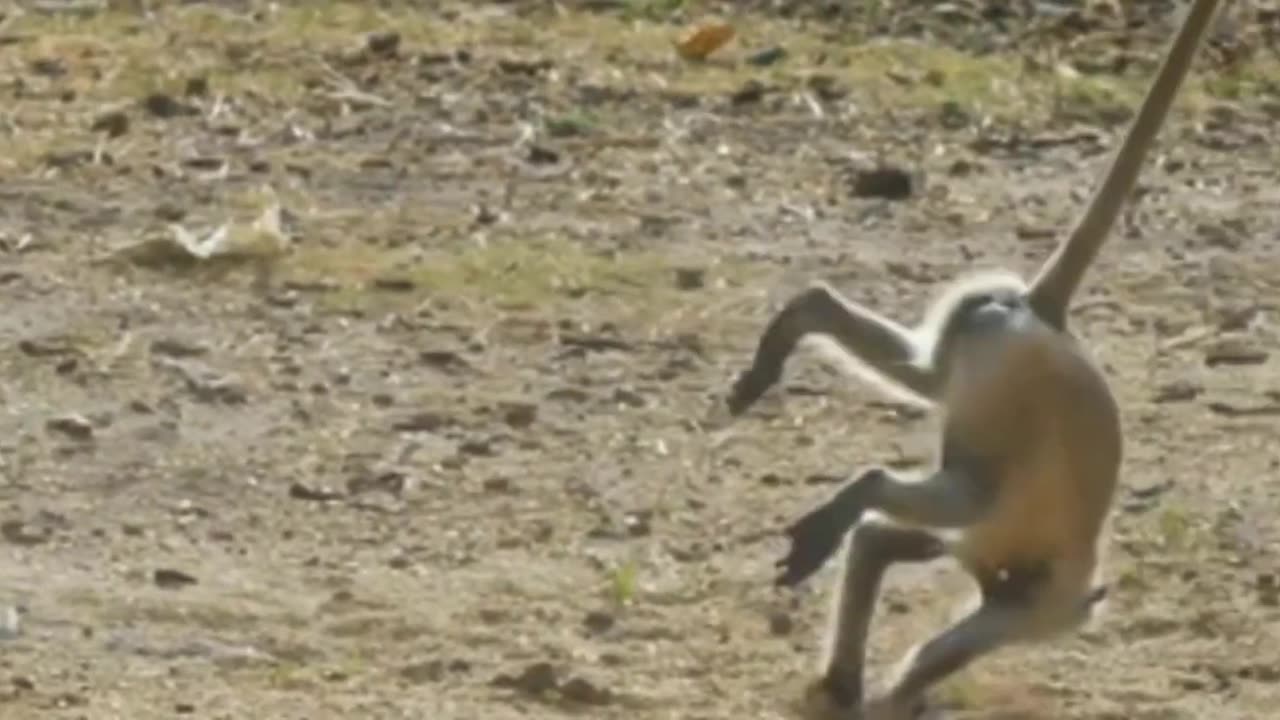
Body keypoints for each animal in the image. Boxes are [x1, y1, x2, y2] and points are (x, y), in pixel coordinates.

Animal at [723, 0, 1223, 717]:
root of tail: (1042, 315)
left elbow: (878, 545)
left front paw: (843, 685)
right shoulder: (1027, 599)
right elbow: (942, 632)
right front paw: (890, 696)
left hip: (979, 338)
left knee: (928, 382)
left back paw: (800, 324)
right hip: (1011, 399)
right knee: (967, 489)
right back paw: (859, 489)